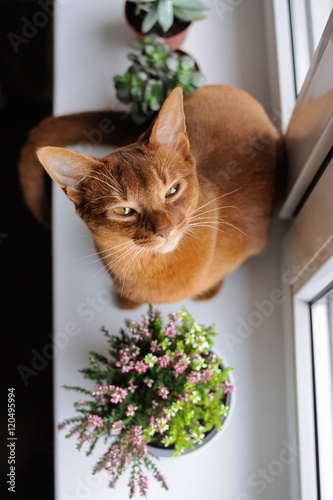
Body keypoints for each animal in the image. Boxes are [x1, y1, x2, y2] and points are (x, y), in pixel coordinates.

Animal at [19, 86, 286, 308]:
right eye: (123, 211)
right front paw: (127, 302)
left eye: (172, 190)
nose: (165, 230)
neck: (150, 267)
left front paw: (210, 291)